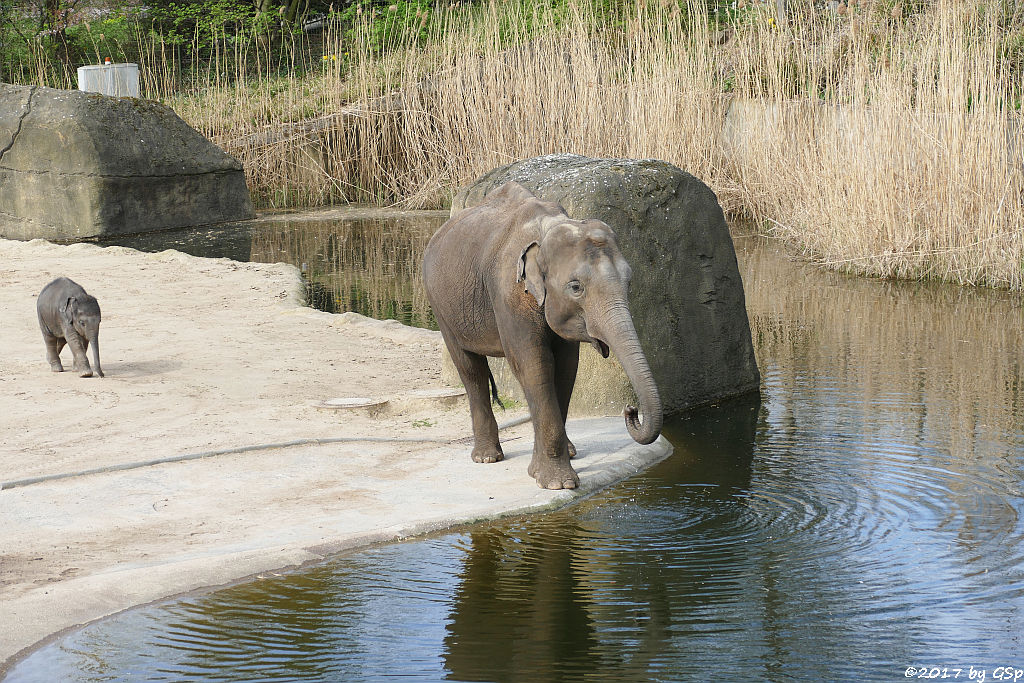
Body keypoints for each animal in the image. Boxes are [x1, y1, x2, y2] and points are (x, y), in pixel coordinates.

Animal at [423, 183, 663, 491]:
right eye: (575, 287)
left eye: (629, 281)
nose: (631, 410)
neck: (549, 227)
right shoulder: (509, 293)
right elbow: (534, 365)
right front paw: (557, 483)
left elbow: (566, 368)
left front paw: (549, 469)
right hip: (441, 307)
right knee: (470, 369)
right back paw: (487, 458)